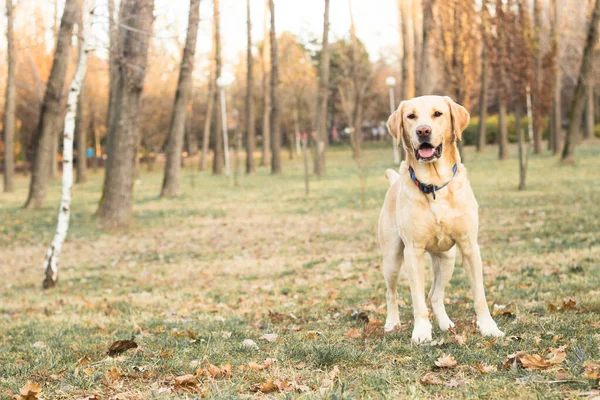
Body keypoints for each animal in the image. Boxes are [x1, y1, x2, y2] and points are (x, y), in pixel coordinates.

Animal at [380, 96, 506, 344]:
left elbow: (479, 295)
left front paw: (489, 327)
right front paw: (421, 331)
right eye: (411, 116)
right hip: (391, 259)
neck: (434, 184)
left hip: (447, 259)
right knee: (392, 292)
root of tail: (394, 182)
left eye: (437, 114)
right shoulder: (413, 251)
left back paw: (445, 323)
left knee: (435, 294)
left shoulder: (469, 247)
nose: (423, 130)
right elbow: (417, 298)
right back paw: (392, 322)